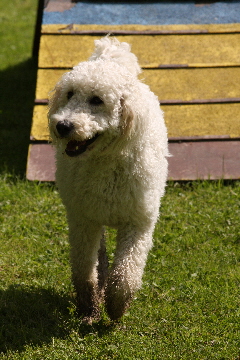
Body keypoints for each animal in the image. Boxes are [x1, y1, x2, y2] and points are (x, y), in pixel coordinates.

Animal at [47, 37, 168, 324]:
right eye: (69, 94)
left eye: (97, 100)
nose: (63, 126)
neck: (106, 162)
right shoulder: (83, 220)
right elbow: (84, 270)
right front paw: (89, 306)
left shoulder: (138, 224)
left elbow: (125, 276)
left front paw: (116, 306)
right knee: (99, 257)